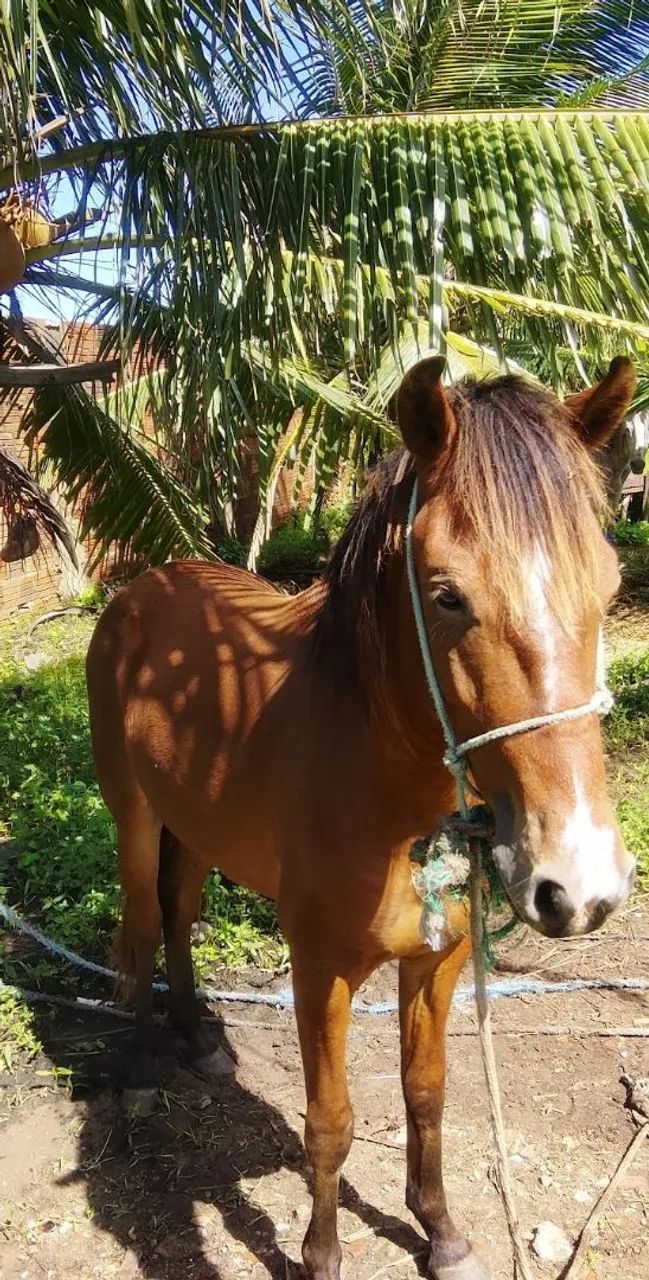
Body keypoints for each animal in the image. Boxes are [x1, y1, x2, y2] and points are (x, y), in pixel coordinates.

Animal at [86, 354, 637, 1280]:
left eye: (609, 584)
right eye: (446, 597)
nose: (579, 887)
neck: (387, 802)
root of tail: (148, 584)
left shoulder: (437, 960)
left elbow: (426, 1094)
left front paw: (440, 1232)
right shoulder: (320, 971)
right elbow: (331, 1124)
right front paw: (319, 1255)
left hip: (194, 828)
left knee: (179, 912)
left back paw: (199, 1037)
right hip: (130, 815)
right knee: (139, 923)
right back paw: (137, 1061)